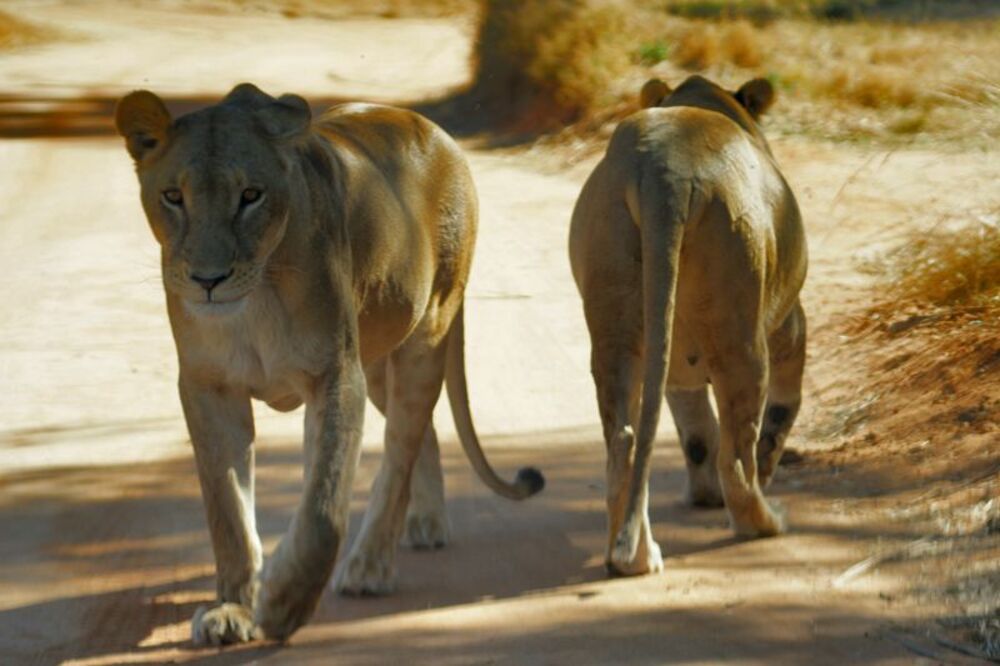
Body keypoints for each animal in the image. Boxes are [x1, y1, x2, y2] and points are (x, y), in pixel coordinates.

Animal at [115, 83, 543, 645]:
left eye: (250, 196)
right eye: (172, 196)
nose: (209, 280)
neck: (255, 301)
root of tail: (431, 129)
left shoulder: (336, 375)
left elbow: (322, 505)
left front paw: (285, 603)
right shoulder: (209, 386)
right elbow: (227, 507)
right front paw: (232, 608)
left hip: (424, 335)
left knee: (400, 450)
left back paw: (370, 566)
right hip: (380, 360)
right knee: (421, 434)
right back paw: (425, 522)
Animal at [568, 75, 807, 576]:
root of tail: (667, 172)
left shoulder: (677, 366)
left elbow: (695, 430)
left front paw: (702, 496)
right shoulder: (790, 321)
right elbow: (780, 413)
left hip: (615, 318)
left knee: (623, 440)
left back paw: (635, 558)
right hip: (740, 329)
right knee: (737, 455)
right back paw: (765, 523)